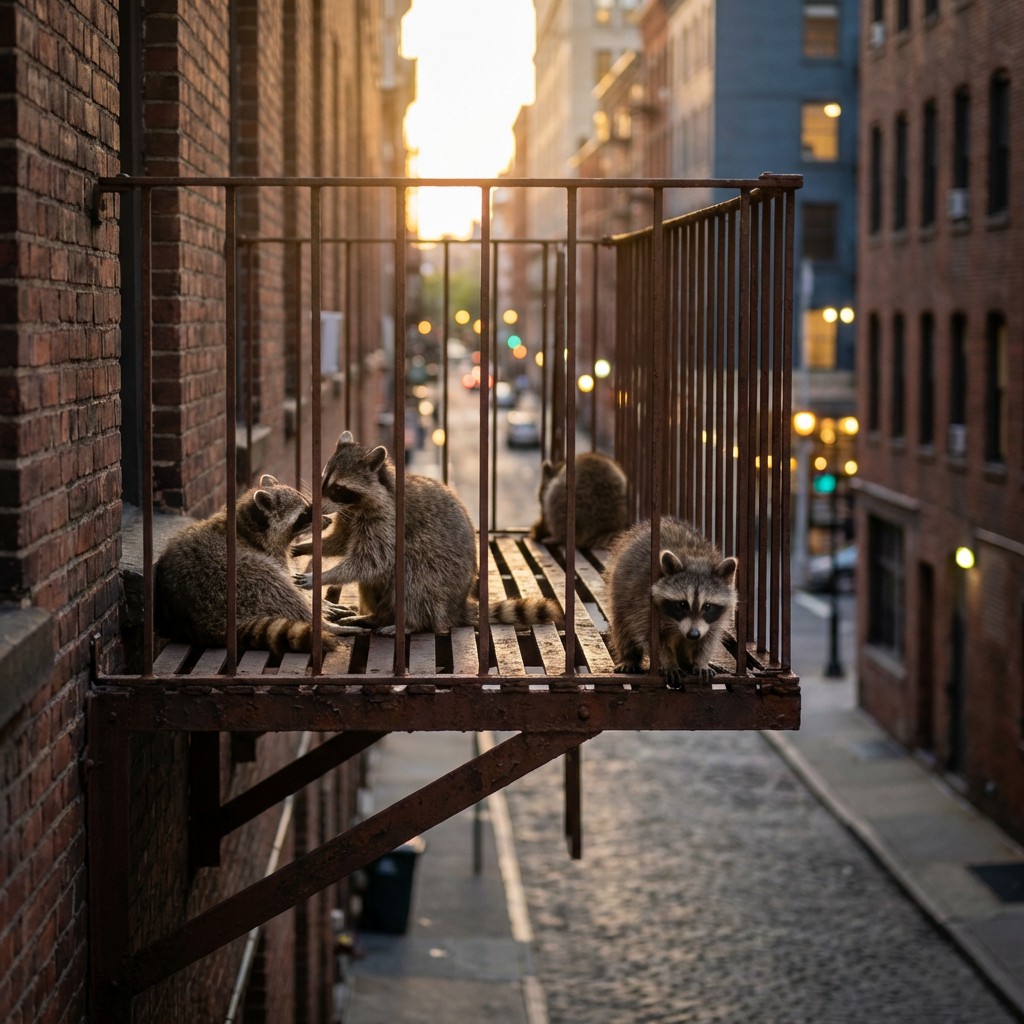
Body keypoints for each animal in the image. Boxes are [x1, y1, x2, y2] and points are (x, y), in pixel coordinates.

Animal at [155, 475, 354, 654]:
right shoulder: (266, 555)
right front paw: (316, 604)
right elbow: (290, 583)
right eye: (304, 514)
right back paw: (325, 625)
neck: (246, 526)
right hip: (238, 577)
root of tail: (211, 625)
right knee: (279, 587)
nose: (328, 520)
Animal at [295, 431, 564, 633]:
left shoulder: (388, 520)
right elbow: (341, 543)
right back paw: (377, 616)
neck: (358, 503)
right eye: (322, 481)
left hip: (439, 579)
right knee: (375, 583)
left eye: (337, 488)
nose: (313, 509)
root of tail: (457, 606)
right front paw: (307, 547)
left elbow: (372, 560)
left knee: (414, 576)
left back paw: (411, 624)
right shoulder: (350, 516)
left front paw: (323, 575)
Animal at [603, 516, 737, 686]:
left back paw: (688, 662)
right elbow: (652, 639)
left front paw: (701, 662)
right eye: (682, 604)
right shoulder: (644, 604)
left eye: (707, 606)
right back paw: (629, 658)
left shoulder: (716, 620)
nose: (693, 634)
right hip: (621, 592)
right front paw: (669, 663)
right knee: (623, 628)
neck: (696, 559)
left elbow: (708, 640)